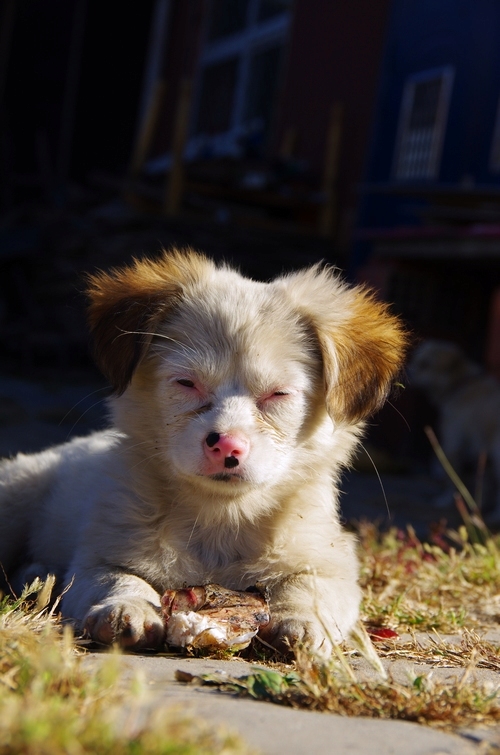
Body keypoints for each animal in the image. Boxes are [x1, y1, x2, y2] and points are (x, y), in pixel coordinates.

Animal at [0, 251, 406, 652]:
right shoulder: (100, 556)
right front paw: (126, 609)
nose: (226, 444)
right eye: (187, 383)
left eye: (278, 394)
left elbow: (307, 589)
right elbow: (119, 579)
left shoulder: (330, 563)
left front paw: (303, 623)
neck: (220, 519)